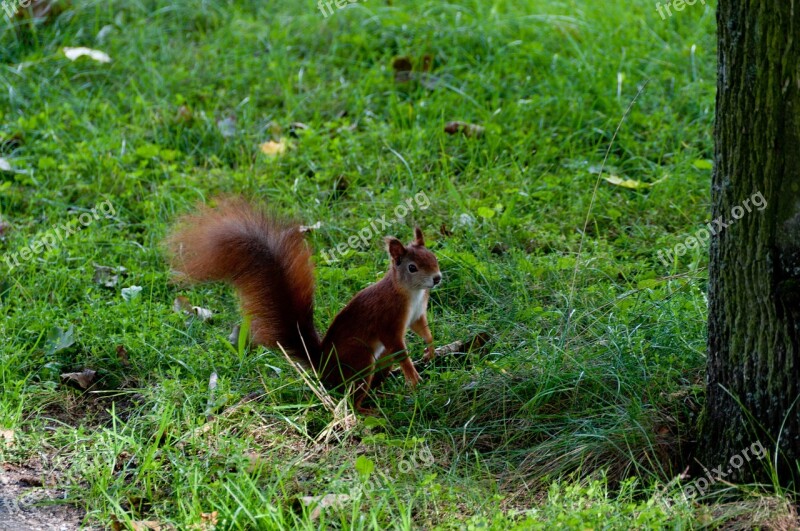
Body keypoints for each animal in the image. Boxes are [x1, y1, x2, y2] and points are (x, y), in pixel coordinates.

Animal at [165, 197, 440, 414]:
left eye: (433, 257)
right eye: (412, 267)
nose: (437, 278)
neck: (412, 293)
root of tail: (322, 367)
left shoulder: (417, 314)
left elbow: (424, 330)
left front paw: (430, 349)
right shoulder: (388, 319)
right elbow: (399, 348)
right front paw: (413, 376)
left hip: (380, 361)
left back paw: (379, 395)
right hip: (360, 359)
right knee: (350, 395)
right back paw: (365, 410)